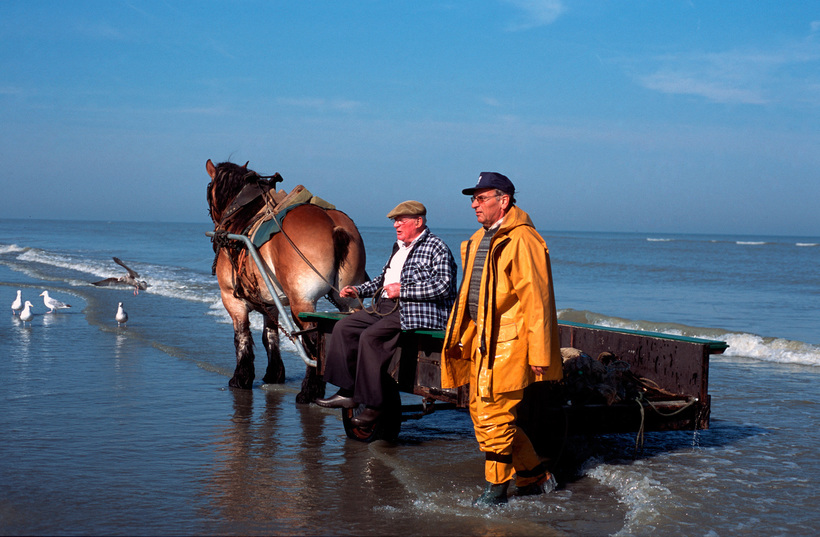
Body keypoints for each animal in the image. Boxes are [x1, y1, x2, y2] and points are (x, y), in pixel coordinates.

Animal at [207, 159, 366, 402]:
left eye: (209, 189)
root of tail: (334, 226)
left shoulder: (231, 298)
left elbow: (242, 337)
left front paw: (241, 378)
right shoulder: (271, 303)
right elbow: (270, 337)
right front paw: (273, 374)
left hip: (302, 302)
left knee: (313, 342)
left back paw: (309, 390)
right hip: (348, 300)